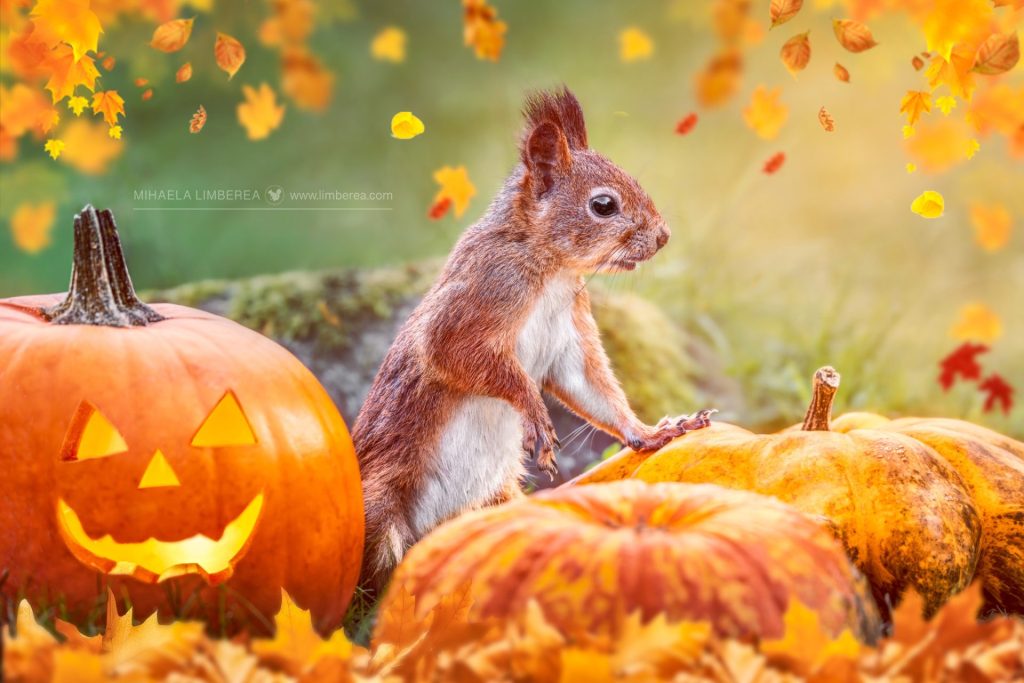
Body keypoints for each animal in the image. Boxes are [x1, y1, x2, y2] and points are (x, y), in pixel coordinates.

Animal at [353, 87, 712, 592]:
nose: (663, 237)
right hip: (380, 506)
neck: (551, 267)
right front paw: (534, 412)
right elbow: (454, 353)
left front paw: (650, 432)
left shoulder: (570, 335)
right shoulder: (481, 293)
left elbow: (591, 388)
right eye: (604, 205)